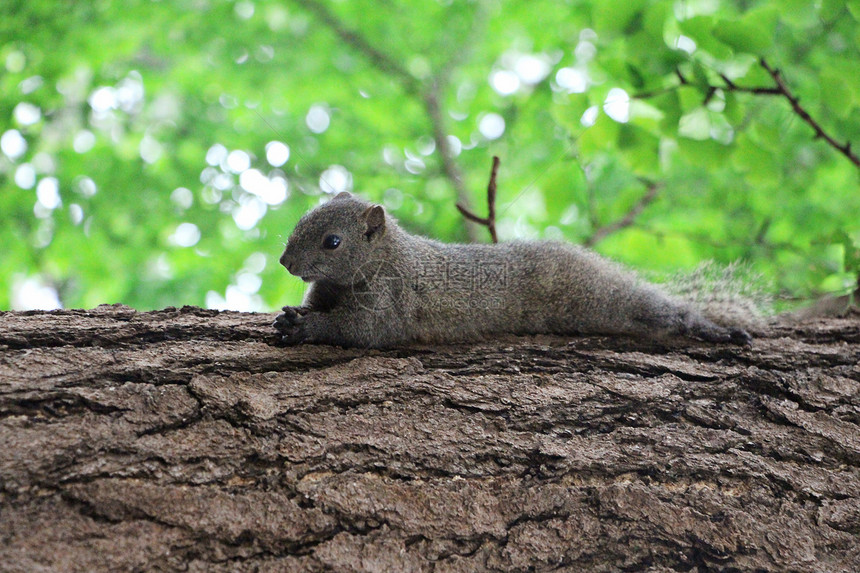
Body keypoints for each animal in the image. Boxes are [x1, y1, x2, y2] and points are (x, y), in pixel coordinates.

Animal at [276, 191, 752, 348]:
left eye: (332, 241)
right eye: (303, 218)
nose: (285, 262)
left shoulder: (391, 298)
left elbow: (364, 331)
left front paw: (306, 328)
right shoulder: (325, 290)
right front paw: (291, 317)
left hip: (601, 296)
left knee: (662, 309)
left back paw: (714, 329)